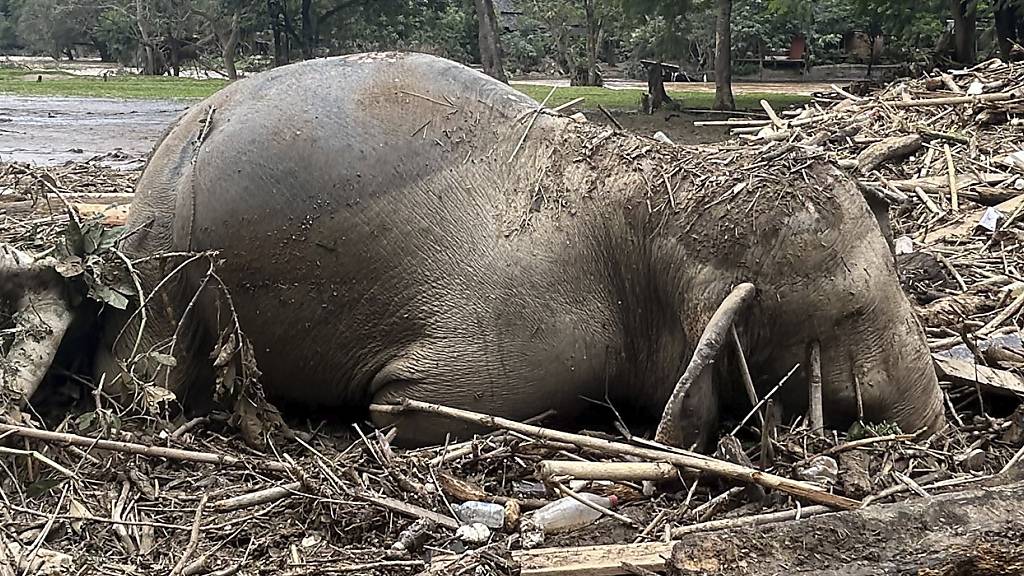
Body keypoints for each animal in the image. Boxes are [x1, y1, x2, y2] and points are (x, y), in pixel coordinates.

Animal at [74, 52, 942, 448]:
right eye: (850, 311)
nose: (939, 425)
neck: (650, 200)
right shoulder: (532, 338)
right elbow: (411, 404)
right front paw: (375, 413)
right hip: (161, 256)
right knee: (145, 366)